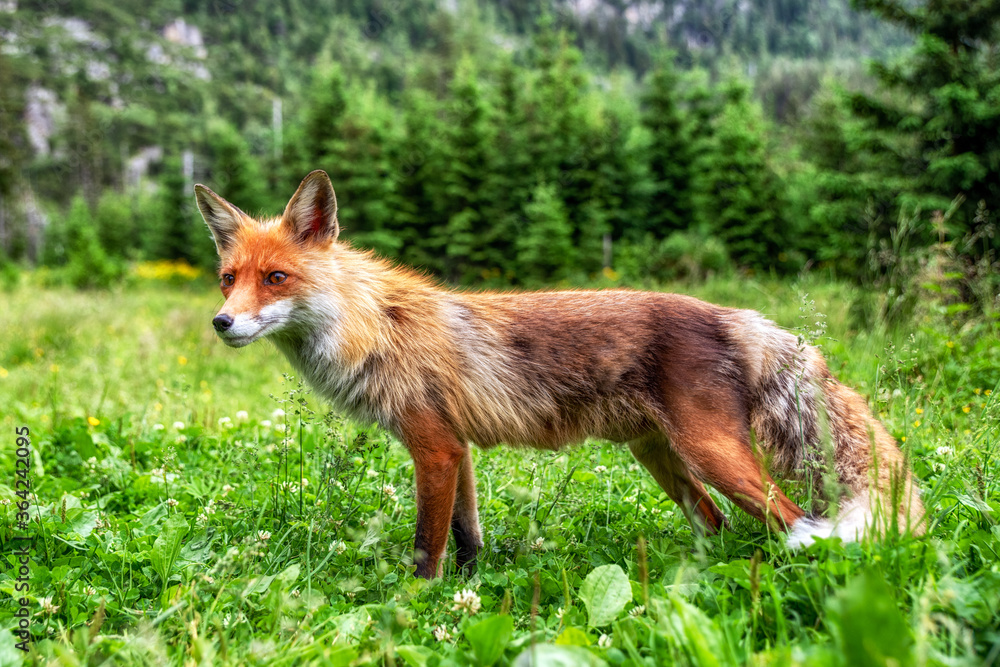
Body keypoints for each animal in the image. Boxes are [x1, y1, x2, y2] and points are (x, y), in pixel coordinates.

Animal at [197, 171, 928, 580]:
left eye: (276, 278)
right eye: (230, 278)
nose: (222, 322)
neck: (373, 327)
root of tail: (732, 313)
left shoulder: (433, 447)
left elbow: (426, 548)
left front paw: (415, 605)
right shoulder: (458, 450)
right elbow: (467, 539)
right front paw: (468, 596)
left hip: (711, 453)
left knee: (798, 520)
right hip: (661, 456)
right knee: (716, 522)